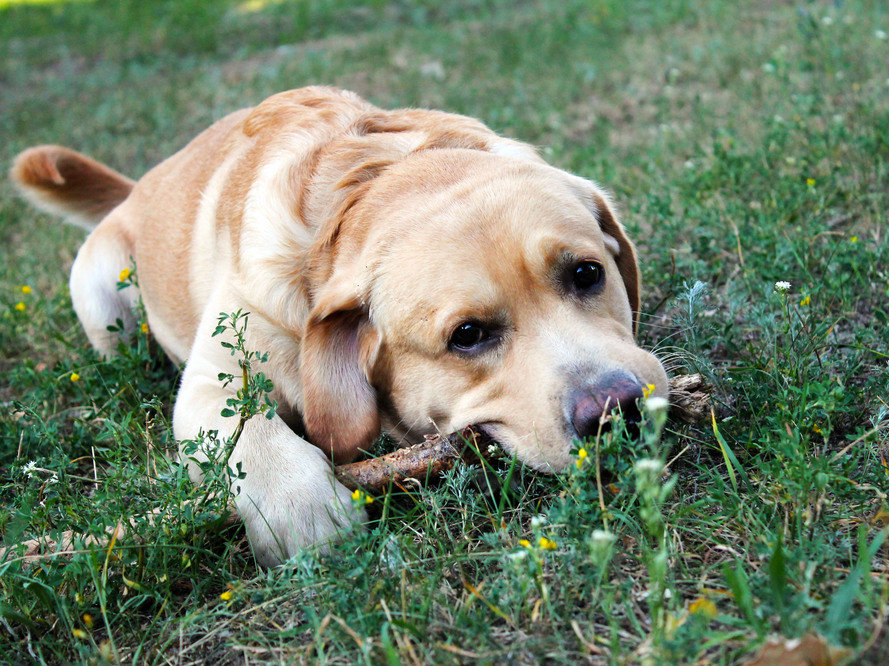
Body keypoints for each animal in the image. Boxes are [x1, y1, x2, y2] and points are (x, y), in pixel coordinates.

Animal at [12, 87, 664, 564]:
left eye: (586, 273)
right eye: (468, 336)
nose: (618, 408)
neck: (370, 181)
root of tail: (138, 187)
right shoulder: (211, 381)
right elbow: (252, 434)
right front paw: (301, 508)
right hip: (103, 299)